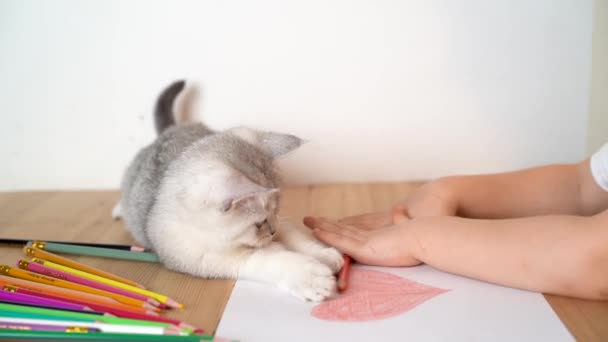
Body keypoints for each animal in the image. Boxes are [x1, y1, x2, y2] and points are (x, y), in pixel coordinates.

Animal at [113, 81, 342, 300]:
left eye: (276, 210)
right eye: (259, 223)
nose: (272, 231)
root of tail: (171, 130)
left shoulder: (282, 223)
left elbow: (295, 236)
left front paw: (324, 254)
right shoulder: (210, 260)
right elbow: (269, 258)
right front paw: (310, 277)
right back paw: (119, 209)